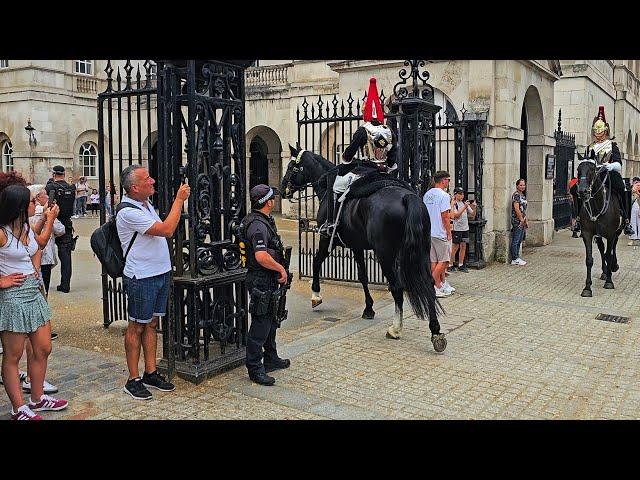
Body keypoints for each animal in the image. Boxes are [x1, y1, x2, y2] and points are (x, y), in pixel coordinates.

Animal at [280, 143, 444, 352]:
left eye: (291, 167)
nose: (282, 190)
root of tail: (407, 197)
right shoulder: (357, 246)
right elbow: (363, 276)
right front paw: (368, 308)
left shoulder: (327, 239)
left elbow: (316, 262)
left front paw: (316, 295)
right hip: (421, 251)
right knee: (429, 283)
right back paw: (436, 331)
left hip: (385, 255)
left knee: (397, 287)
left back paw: (395, 329)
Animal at [576, 156, 620, 296]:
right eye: (578, 169)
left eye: (592, 170)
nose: (582, 191)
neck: (597, 207)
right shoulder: (587, 234)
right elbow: (589, 260)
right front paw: (587, 288)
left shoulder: (611, 234)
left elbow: (609, 255)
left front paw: (609, 282)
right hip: (599, 235)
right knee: (602, 249)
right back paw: (605, 272)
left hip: (617, 232)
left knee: (612, 248)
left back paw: (613, 267)